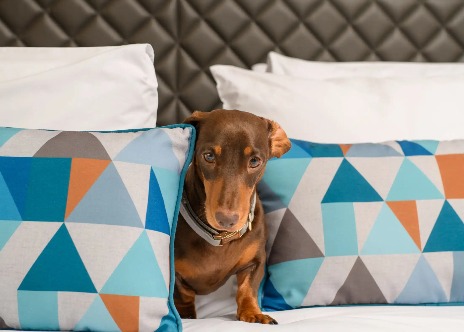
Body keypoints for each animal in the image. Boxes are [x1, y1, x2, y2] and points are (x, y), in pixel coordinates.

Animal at [174, 109, 290, 324]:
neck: (219, 237)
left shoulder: (255, 260)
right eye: (209, 156)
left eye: (255, 161)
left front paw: (252, 313)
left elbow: (247, 288)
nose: (227, 220)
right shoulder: (175, 275)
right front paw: (186, 316)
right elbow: (183, 295)